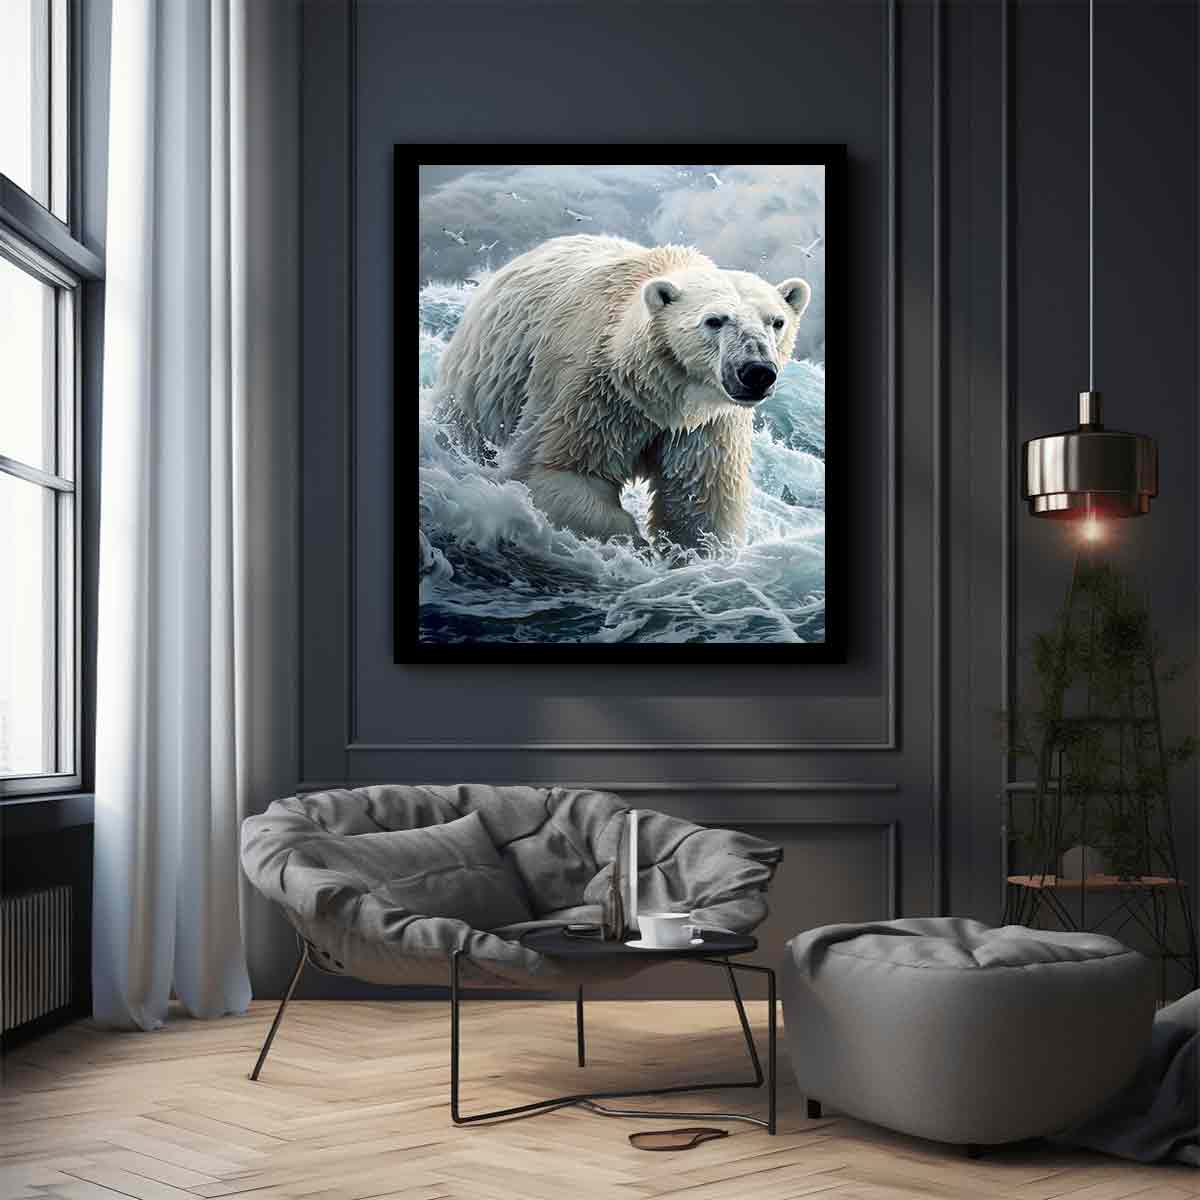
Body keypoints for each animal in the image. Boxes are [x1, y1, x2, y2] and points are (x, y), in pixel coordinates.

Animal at [433, 234, 810, 549]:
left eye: (776, 321)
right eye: (714, 320)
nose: (756, 372)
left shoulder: (706, 425)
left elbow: (700, 503)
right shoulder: (593, 395)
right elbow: (561, 472)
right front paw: (636, 545)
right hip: (487, 378)